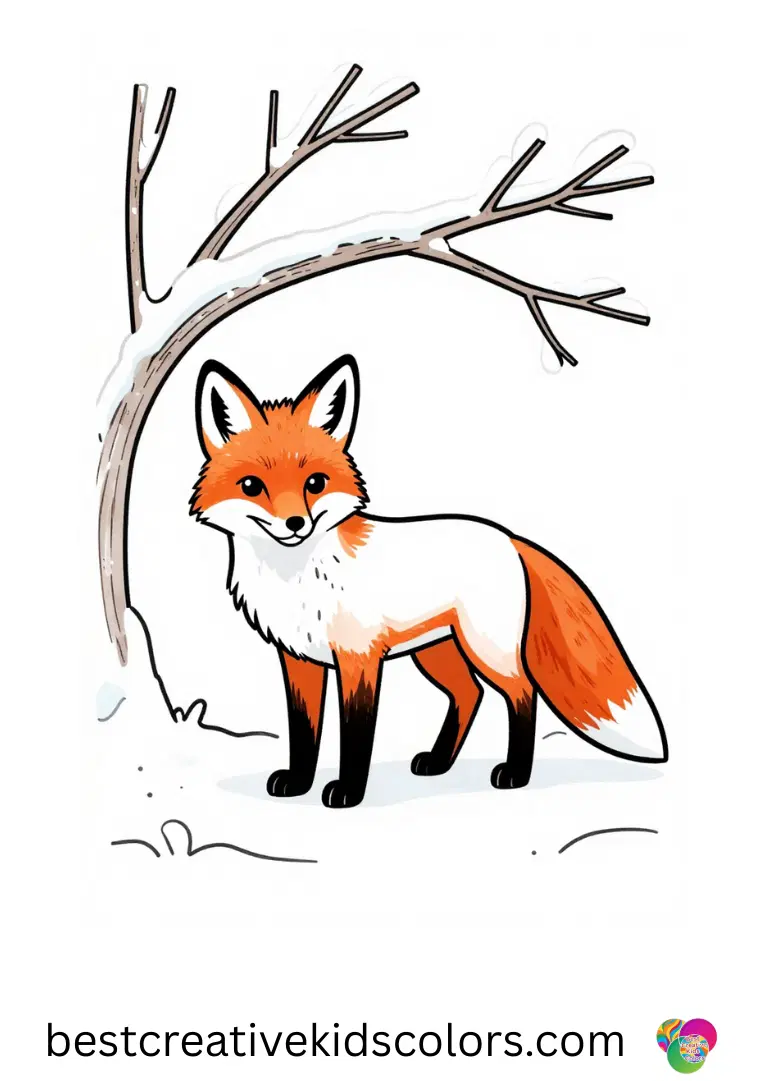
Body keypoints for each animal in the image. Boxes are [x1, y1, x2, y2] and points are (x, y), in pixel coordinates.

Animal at [191, 354, 667, 808]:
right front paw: (298, 782)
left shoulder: (359, 658)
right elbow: (303, 732)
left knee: (523, 695)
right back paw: (438, 762)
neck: (296, 575)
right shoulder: (299, 660)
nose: (295, 524)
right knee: (470, 695)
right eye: (252, 486)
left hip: (486, 649)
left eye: (316, 483)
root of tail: (509, 537)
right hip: (437, 651)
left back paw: (514, 773)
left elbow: (355, 735)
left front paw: (348, 792)